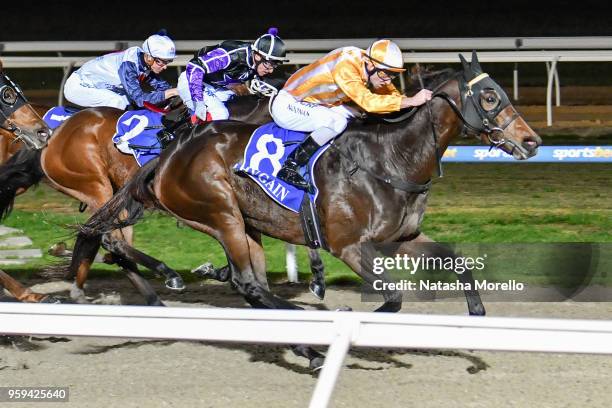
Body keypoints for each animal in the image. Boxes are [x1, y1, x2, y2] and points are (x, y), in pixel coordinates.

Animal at [76, 51, 540, 366]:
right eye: (489, 96)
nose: (532, 141)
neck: (390, 158)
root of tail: (171, 151)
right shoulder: (349, 246)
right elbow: (393, 298)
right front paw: (343, 318)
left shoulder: (403, 236)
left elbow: (455, 262)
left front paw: (478, 323)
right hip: (220, 214)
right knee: (247, 284)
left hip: (245, 224)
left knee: (253, 286)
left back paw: (303, 345)